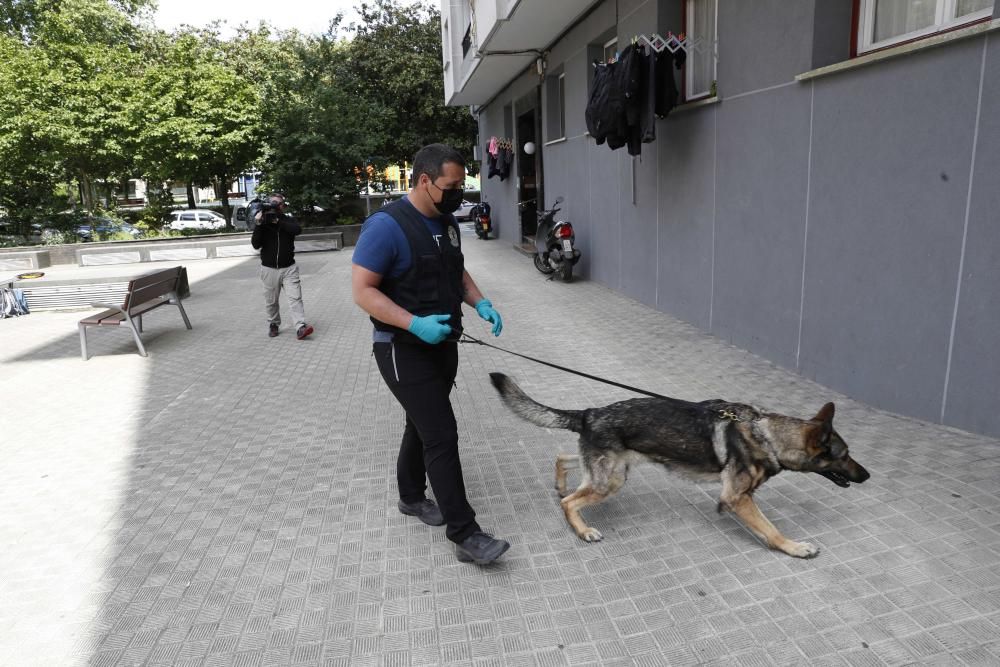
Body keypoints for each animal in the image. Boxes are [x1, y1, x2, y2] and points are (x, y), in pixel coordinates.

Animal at [490, 374, 868, 556]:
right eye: (845, 454)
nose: (867, 475)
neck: (767, 434)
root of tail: (590, 413)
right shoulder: (737, 498)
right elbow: (771, 529)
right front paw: (795, 548)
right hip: (610, 480)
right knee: (570, 502)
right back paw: (583, 530)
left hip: (609, 470)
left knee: (563, 459)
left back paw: (560, 484)